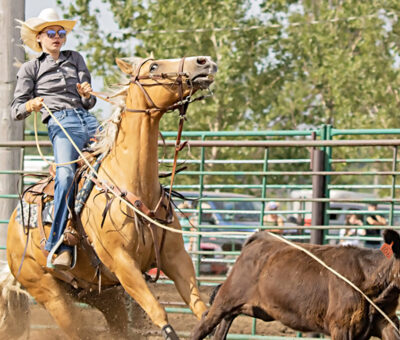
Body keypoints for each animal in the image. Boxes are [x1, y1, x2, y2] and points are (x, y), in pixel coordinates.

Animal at [6, 54, 217, 338]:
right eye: (153, 66)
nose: (203, 61)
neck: (135, 186)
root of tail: (13, 225)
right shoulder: (124, 265)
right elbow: (159, 313)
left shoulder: (177, 258)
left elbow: (202, 309)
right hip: (49, 293)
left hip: (102, 293)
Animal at [191, 230, 400, 338]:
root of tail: (260, 237)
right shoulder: (341, 327)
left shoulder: (386, 321)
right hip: (227, 297)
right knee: (203, 325)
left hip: (249, 307)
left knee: (223, 323)